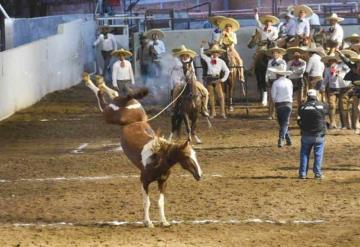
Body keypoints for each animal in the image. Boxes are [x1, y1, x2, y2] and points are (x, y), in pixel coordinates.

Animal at [83, 73, 204, 228]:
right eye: (187, 156)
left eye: (195, 155)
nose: (199, 175)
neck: (158, 157)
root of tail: (129, 101)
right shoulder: (144, 181)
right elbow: (147, 202)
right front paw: (148, 222)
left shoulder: (163, 182)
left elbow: (160, 202)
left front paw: (164, 221)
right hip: (108, 115)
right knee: (100, 97)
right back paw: (91, 81)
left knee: (114, 94)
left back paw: (101, 82)